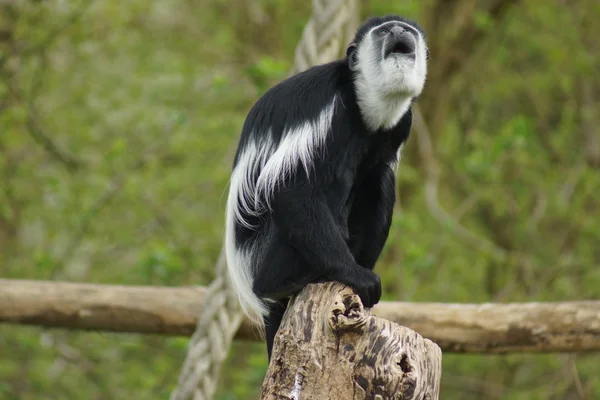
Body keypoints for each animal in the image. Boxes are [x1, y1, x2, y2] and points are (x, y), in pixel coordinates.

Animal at [225, 15, 426, 358]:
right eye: (385, 31)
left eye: (407, 30)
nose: (399, 30)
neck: (363, 102)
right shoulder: (331, 107)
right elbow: (288, 188)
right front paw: (354, 275)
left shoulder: (401, 123)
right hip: (263, 253)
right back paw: (284, 282)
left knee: (379, 180)